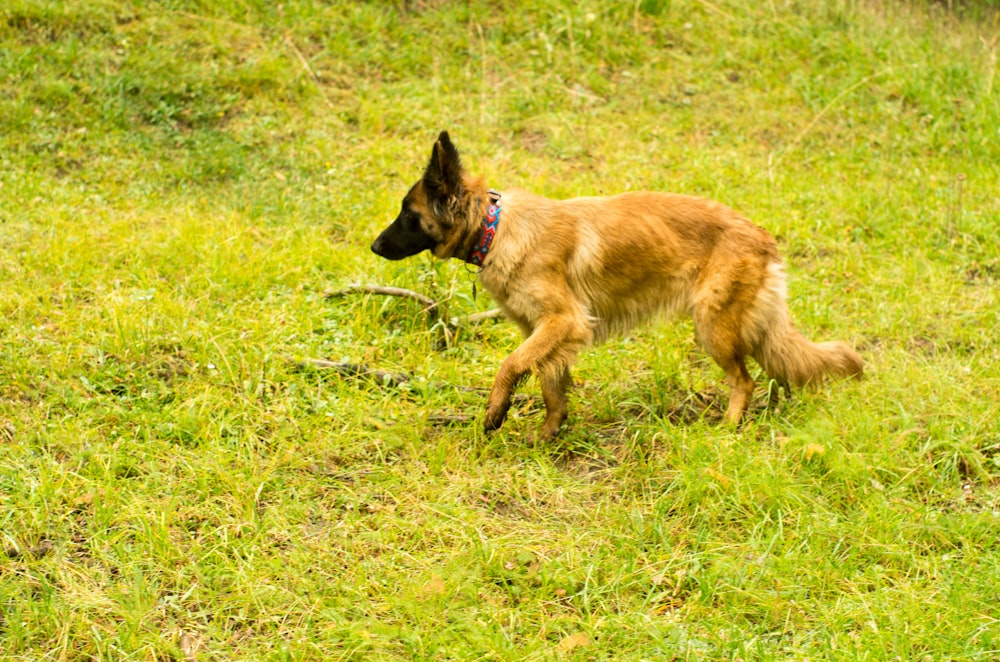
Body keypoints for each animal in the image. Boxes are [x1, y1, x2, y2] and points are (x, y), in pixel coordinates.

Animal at [372, 132, 864, 440]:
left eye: (408, 214)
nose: (374, 246)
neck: (495, 228)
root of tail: (763, 239)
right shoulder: (547, 332)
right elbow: (551, 385)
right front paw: (548, 434)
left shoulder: (563, 322)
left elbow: (509, 365)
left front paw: (496, 411)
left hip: (713, 328)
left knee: (745, 380)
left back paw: (727, 427)